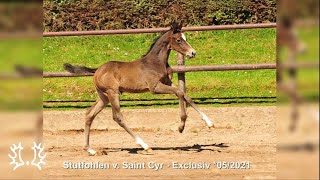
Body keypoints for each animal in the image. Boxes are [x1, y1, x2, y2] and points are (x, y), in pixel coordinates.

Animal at [63, 22, 214, 155]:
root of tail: (97, 71)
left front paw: (209, 123)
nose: (193, 53)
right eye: (179, 40)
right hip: (113, 93)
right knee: (118, 117)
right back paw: (145, 146)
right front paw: (181, 126)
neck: (156, 62)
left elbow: (184, 94)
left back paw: (90, 150)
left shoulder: (168, 83)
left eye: (185, 38)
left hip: (103, 97)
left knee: (89, 114)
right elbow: (179, 93)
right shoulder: (155, 87)